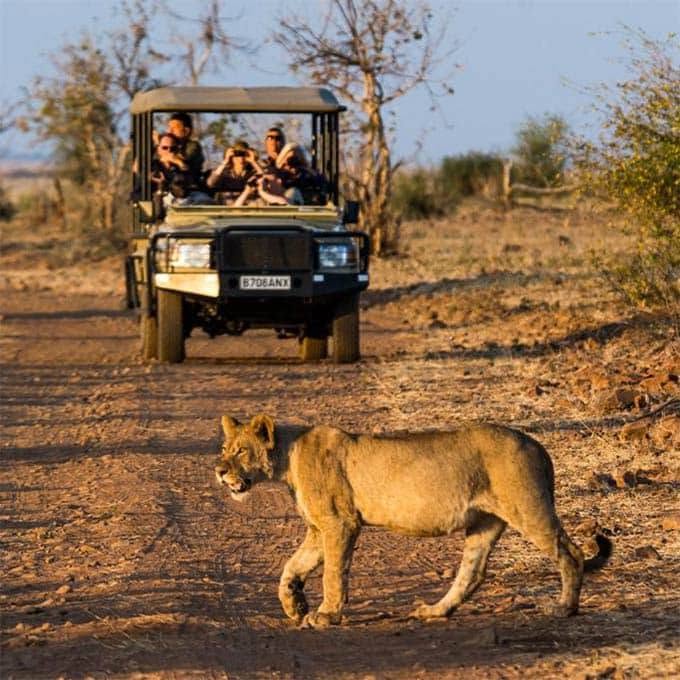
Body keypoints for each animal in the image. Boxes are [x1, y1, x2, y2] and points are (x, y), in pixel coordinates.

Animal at [215, 414, 612, 629]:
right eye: (223, 449)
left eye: (240, 451)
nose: (218, 470)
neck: (286, 456)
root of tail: (537, 445)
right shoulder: (318, 528)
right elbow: (291, 567)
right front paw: (294, 605)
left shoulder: (340, 523)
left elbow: (332, 574)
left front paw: (326, 615)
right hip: (484, 523)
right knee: (471, 574)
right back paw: (435, 611)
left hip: (528, 508)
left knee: (571, 553)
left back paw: (564, 608)